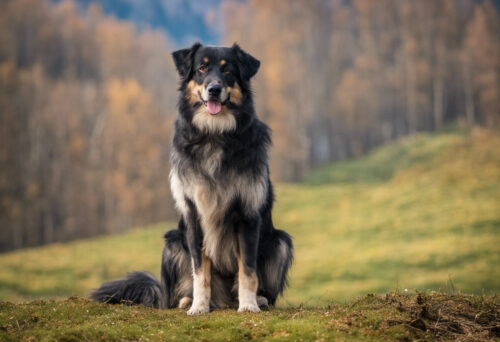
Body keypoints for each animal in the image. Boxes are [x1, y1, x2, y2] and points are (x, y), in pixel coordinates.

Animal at [91, 43, 292, 316]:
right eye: (202, 68)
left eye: (228, 71)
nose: (214, 89)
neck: (215, 133)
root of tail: (224, 301)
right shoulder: (194, 214)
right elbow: (200, 271)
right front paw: (198, 306)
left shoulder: (248, 214)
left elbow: (248, 270)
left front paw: (249, 305)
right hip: (173, 243)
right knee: (175, 292)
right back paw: (187, 300)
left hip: (280, 243)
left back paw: (257, 300)